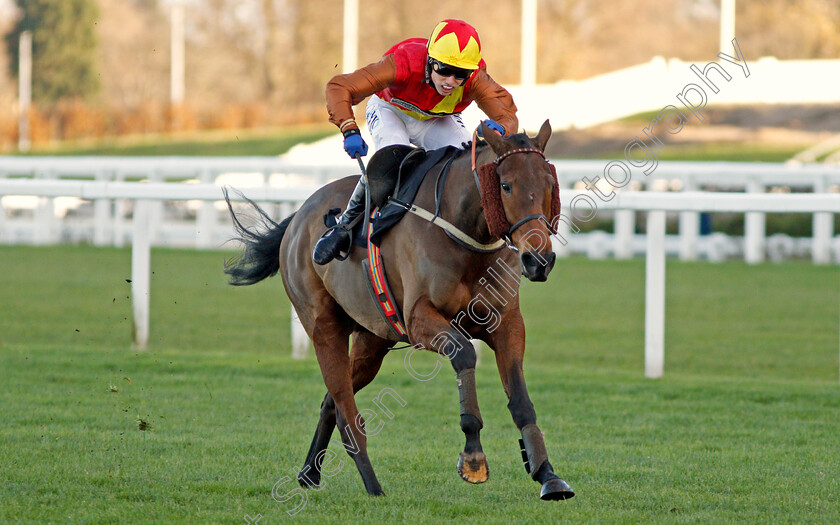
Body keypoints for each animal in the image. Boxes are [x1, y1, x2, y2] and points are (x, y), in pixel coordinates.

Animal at [225, 119, 572, 500]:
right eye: (506, 185)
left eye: (550, 183)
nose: (539, 260)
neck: (465, 232)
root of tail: (298, 217)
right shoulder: (420, 321)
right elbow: (464, 354)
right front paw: (473, 458)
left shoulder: (507, 323)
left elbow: (521, 400)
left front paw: (547, 473)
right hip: (322, 325)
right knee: (347, 411)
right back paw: (373, 486)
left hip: (372, 340)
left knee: (330, 402)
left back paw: (309, 474)